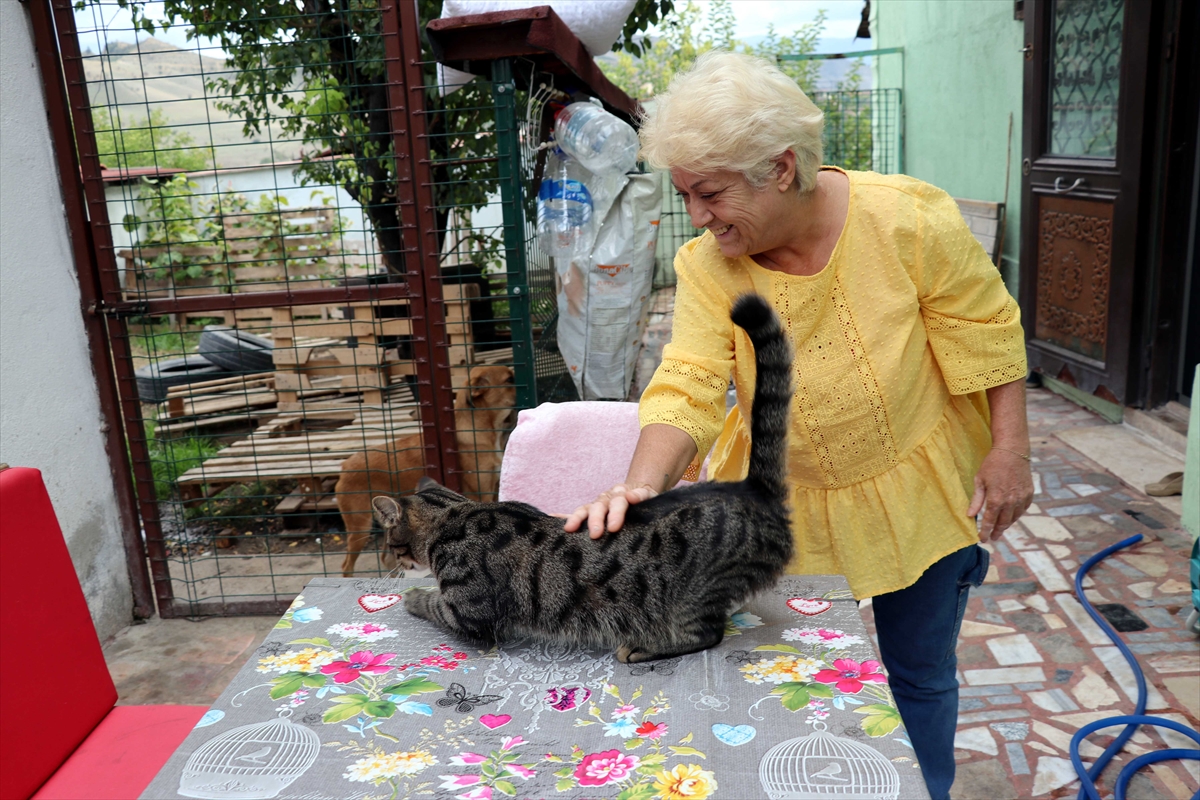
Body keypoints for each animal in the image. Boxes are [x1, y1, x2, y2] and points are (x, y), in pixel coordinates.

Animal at [333, 367, 516, 578]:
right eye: (509, 380)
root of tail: (345, 466)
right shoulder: (482, 494)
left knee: (387, 559)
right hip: (360, 529)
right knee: (347, 566)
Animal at [369, 293, 792, 662]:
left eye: (391, 543)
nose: (393, 562)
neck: (455, 515)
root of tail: (752, 489)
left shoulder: (468, 613)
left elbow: (433, 602)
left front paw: (412, 594)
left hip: (692, 598)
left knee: (707, 634)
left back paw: (643, 648)